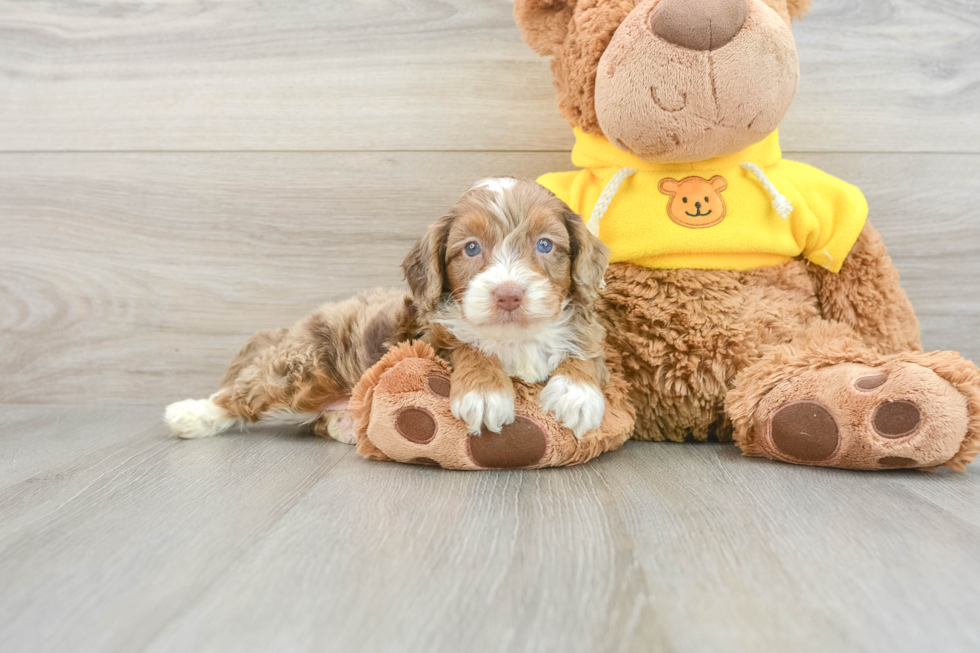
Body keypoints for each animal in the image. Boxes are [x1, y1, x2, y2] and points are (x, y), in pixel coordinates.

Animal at [165, 178, 608, 440]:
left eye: (545, 245)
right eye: (471, 248)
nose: (509, 295)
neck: (515, 337)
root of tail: (288, 330)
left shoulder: (585, 326)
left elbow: (587, 350)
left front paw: (577, 393)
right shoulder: (428, 338)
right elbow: (467, 346)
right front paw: (484, 391)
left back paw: (345, 422)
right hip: (303, 365)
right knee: (242, 393)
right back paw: (190, 414)